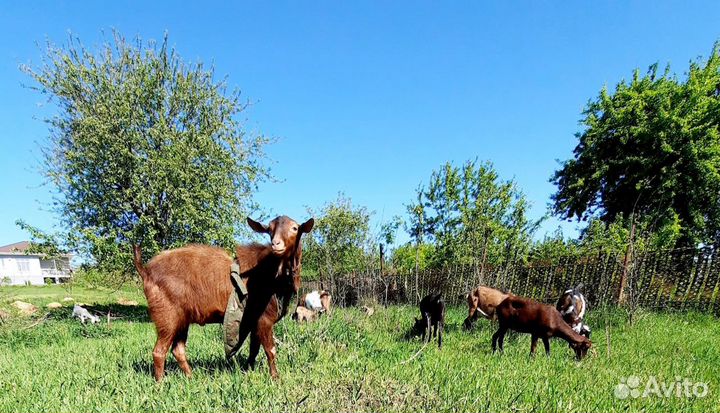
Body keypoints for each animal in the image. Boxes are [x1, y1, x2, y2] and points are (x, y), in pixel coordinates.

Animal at [134, 216, 314, 380]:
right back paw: (160, 383)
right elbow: (270, 350)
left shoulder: (254, 320)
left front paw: (248, 371)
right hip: (166, 315)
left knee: (178, 350)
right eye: (269, 229)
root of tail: (146, 271)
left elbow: (254, 349)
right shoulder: (264, 318)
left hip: (182, 319)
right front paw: (275, 378)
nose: (276, 244)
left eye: (294, 228)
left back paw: (190, 377)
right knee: (159, 351)